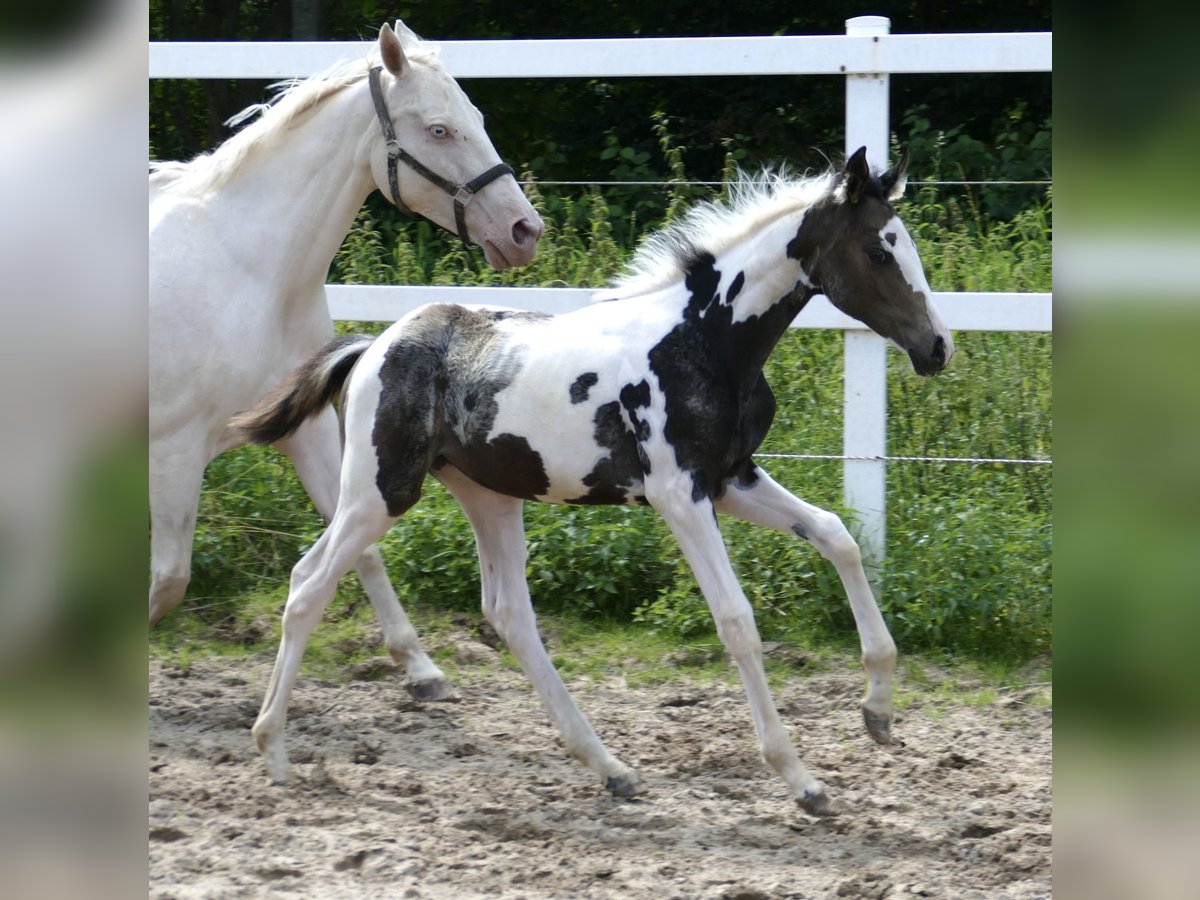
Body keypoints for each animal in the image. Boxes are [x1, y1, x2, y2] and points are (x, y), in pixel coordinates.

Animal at [147, 19, 542, 705]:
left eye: (476, 116)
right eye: (439, 129)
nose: (525, 230)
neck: (248, 269)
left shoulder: (306, 431)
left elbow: (359, 548)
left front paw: (421, 669)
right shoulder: (173, 449)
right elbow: (168, 577)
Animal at [229, 150, 950, 816]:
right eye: (877, 252)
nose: (937, 347)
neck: (702, 339)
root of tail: (372, 347)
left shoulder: (730, 480)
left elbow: (837, 536)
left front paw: (878, 711)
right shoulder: (679, 495)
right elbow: (736, 620)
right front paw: (801, 779)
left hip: (488, 496)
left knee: (508, 613)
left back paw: (610, 768)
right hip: (380, 491)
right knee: (309, 584)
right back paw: (274, 751)